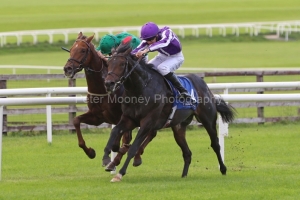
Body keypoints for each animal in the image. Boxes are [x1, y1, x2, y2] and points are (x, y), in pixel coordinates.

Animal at [62, 32, 156, 169]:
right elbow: (76, 121)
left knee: (149, 133)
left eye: (83, 50)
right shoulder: (98, 117)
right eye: (71, 49)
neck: (102, 89)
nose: (67, 68)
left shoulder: (124, 117)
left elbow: (122, 140)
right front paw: (91, 152)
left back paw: (134, 156)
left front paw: (110, 157)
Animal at [103, 38, 237, 181]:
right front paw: (106, 159)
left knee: (215, 144)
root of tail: (205, 87)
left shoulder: (147, 122)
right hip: (178, 127)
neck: (140, 89)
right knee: (187, 152)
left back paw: (223, 169)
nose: (108, 83)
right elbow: (115, 131)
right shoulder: (129, 119)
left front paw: (120, 173)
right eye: (108, 63)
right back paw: (184, 175)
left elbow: (133, 148)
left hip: (208, 120)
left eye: (122, 64)